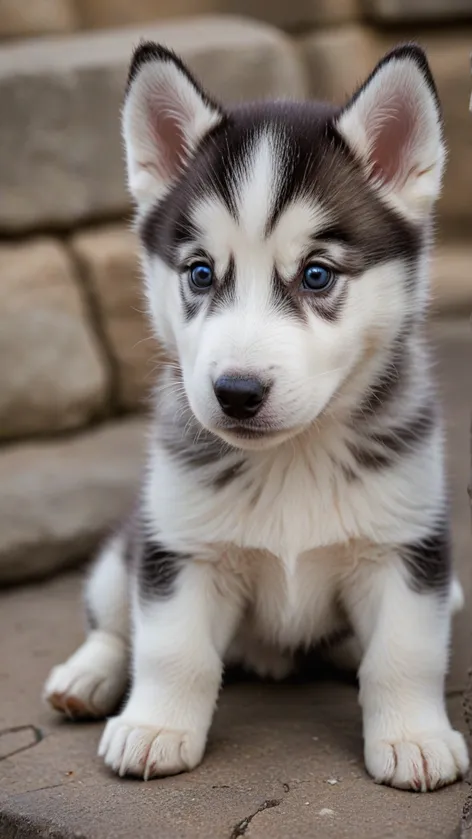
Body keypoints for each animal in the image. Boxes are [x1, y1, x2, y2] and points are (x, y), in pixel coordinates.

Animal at [45, 42, 468, 792]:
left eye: (318, 275)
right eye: (200, 273)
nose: (236, 391)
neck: (292, 457)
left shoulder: (407, 543)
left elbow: (404, 653)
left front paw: (414, 737)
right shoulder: (177, 546)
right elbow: (171, 650)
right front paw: (156, 726)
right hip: (128, 542)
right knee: (114, 622)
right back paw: (87, 676)